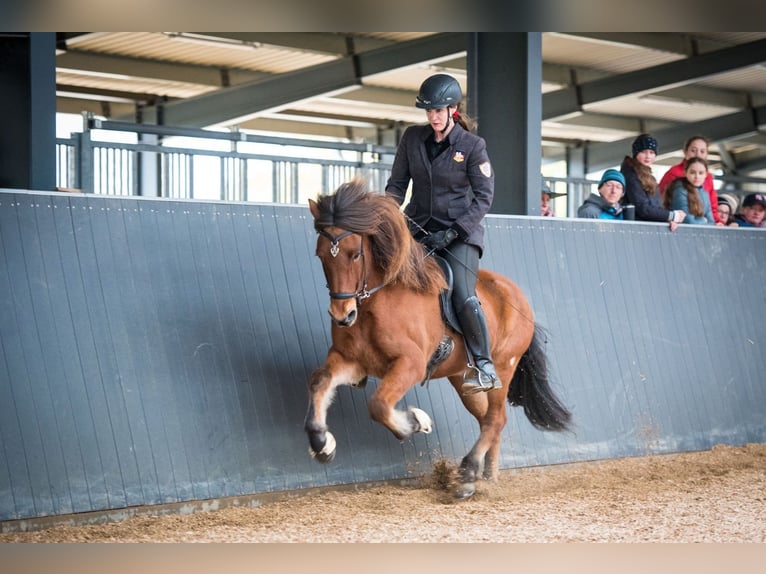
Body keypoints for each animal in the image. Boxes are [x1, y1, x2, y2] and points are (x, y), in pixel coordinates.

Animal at [306, 179, 568, 500]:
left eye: (355, 253)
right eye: (320, 254)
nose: (342, 316)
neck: (376, 303)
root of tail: (518, 297)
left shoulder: (411, 364)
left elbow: (379, 405)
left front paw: (415, 422)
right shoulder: (351, 361)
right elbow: (320, 382)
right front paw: (322, 443)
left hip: (504, 367)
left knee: (495, 418)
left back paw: (468, 474)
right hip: (462, 380)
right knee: (488, 419)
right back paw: (487, 476)